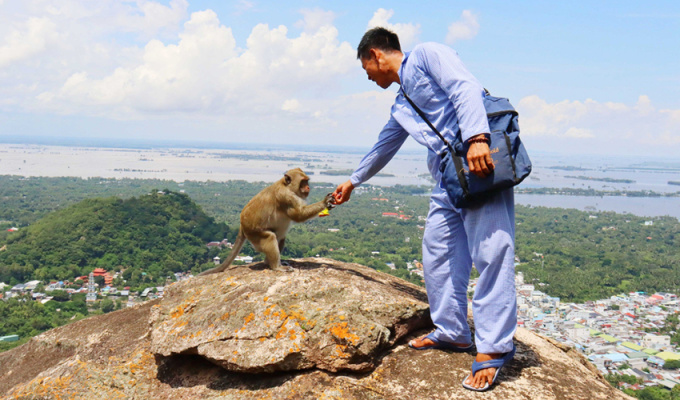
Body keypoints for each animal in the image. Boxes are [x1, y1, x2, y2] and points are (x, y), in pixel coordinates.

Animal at [197, 167, 334, 276]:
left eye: (307, 180)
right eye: (303, 181)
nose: (308, 187)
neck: (286, 186)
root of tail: (242, 225)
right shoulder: (287, 197)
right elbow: (298, 215)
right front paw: (325, 202)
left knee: (280, 237)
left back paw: (269, 262)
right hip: (254, 234)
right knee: (270, 237)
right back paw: (276, 267)